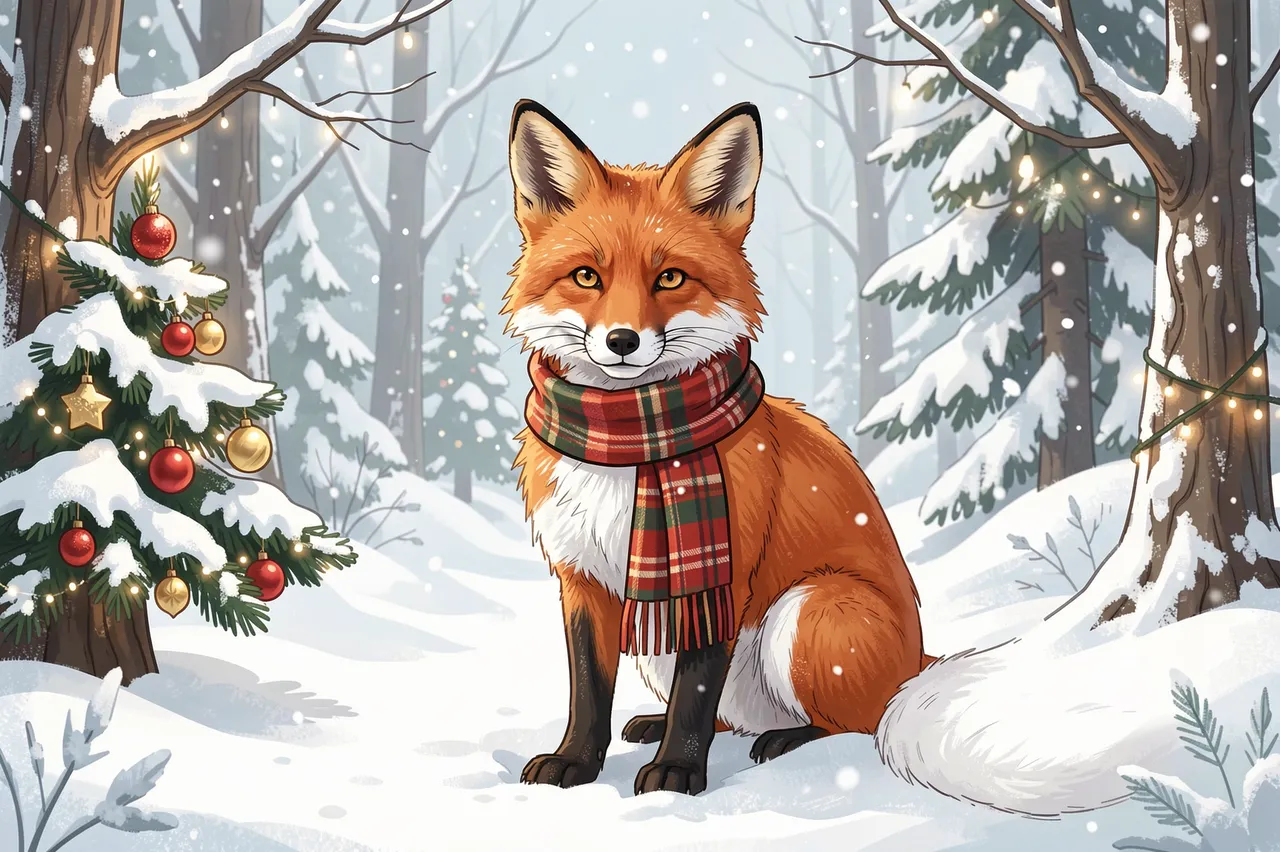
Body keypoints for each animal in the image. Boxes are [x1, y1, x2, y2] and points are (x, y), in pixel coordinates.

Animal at [502, 98, 930, 797]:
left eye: (670, 277)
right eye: (586, 276)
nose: (622, 340)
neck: (630, 439)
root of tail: (921, 659)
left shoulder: (723, 573)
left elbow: (697, 690)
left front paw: (676, 772)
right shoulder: (581, 576)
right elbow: (589, 689)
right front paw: (575, 763)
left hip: (809, 610)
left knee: (857, 724)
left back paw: (786, 740)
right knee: (730, 715)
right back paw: (662, 724)